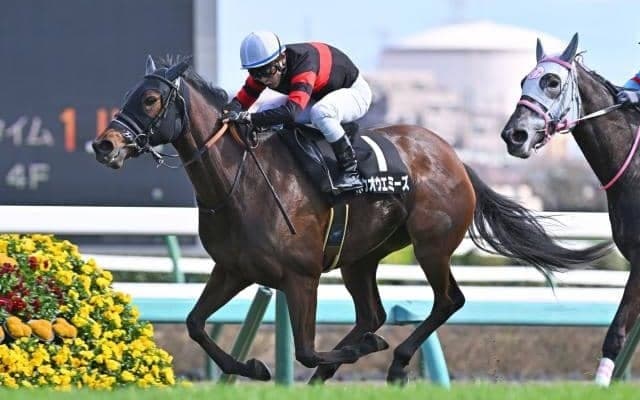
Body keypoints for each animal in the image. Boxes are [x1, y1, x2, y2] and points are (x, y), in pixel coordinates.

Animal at [92, 55, 612, 384]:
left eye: (151, 101)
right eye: (130, 94)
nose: (104, 144)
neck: (241, 183)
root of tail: (455, 157)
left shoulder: (299, 276)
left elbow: (303, 348)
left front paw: (362, 352)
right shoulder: (234, 269)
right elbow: (196, 325)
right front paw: (254, 368)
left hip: (431, 246)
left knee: (448, 301)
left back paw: (395, 360)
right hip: (360, 258)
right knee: (373, 313)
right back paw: (336, 369)